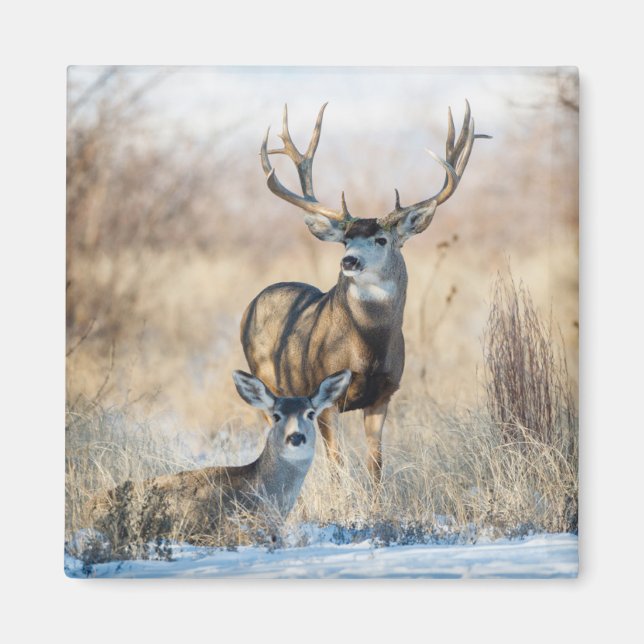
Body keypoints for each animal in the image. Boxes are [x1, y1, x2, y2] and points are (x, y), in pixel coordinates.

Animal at [241, 101, 490, 484]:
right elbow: (337, 465)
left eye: (381, 239)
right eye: (346, 239)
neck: (367, 348)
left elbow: (375, 465)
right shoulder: (325, 396)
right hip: (267, 382)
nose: (349, 260)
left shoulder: (383, 394)